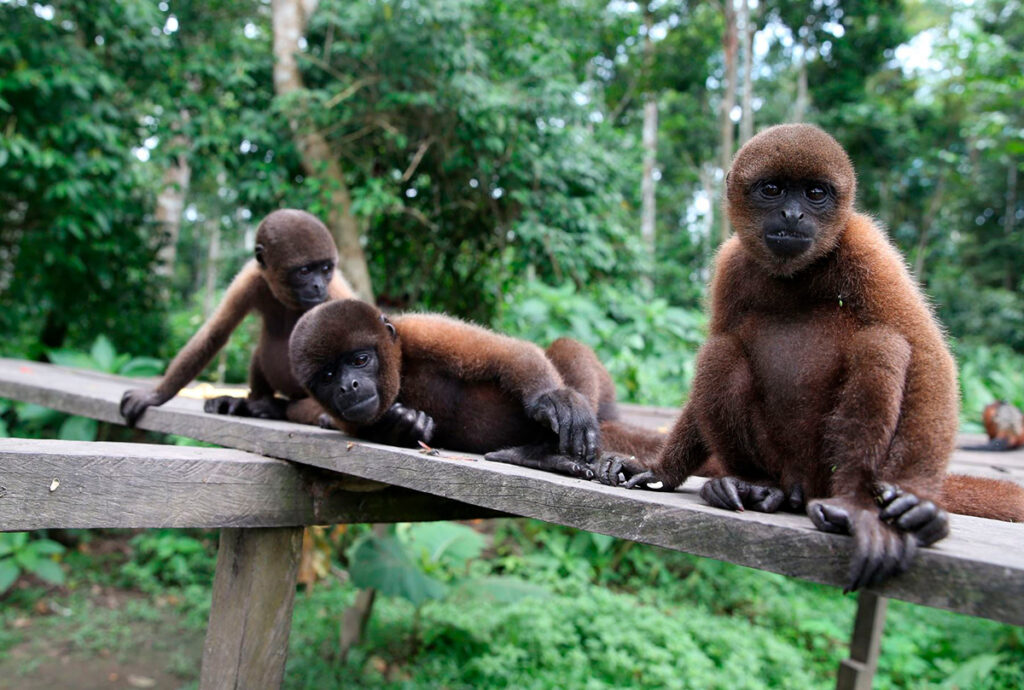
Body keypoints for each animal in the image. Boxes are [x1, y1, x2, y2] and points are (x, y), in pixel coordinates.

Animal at [120, 209, 354, 427]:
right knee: (259, 353)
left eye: (326, 269)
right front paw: (154, 396)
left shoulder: (335, 294)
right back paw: (249, 403)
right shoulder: (250, 279)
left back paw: (271, 407)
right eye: (304, 271)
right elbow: (215, 332)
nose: (318, 286)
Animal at [601, 123, 1024, 591]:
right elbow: (719, 337)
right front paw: (659, 469)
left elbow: (928, 353)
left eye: (815, 193)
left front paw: (917, 500)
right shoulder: (730, 262)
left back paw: (851, 503)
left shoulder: (866, 245)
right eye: (772, 189)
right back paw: (754, 487)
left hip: (824, 468)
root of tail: (799, 482)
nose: (791, 215)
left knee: (882, 344)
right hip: (776, 458)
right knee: (720, 350)